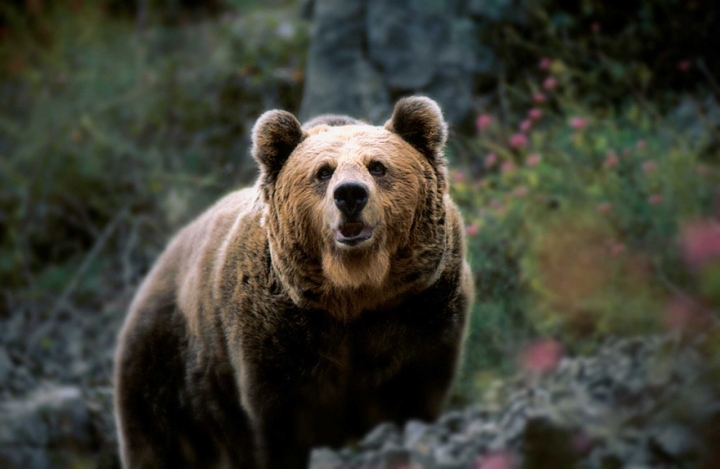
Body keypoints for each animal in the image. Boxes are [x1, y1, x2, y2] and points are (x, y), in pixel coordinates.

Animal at [114, 96, 473, 469]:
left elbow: (414, 388)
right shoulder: (276, 333)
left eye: (377, 166)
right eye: (324, 171)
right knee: (159, 442)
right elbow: (279, 421)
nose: (350, 195)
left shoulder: (419, 307)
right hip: (167, 370)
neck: (354, 291)